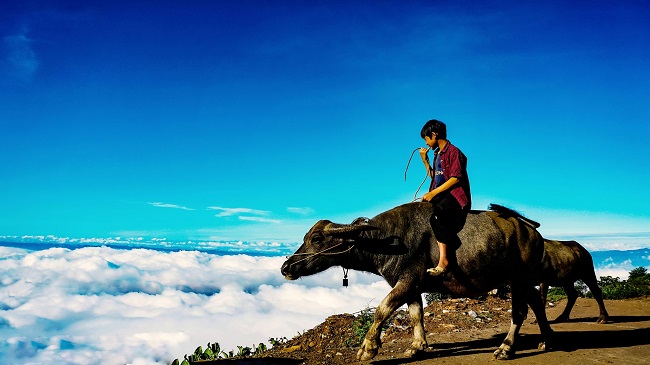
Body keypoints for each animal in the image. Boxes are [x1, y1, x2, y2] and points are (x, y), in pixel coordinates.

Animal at [280, 203, 552, 360]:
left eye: (316, 239)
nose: (286, 267)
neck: (385, 240)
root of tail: (535, 235)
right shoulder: (413, 288)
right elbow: (415, 314)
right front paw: (417, 346)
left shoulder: (407, 282)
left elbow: (382, 310)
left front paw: (368, 348)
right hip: (523, 281)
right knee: (537, 302)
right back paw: (546, 340)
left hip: (519, 279)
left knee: (519, 311)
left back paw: (506, 348)